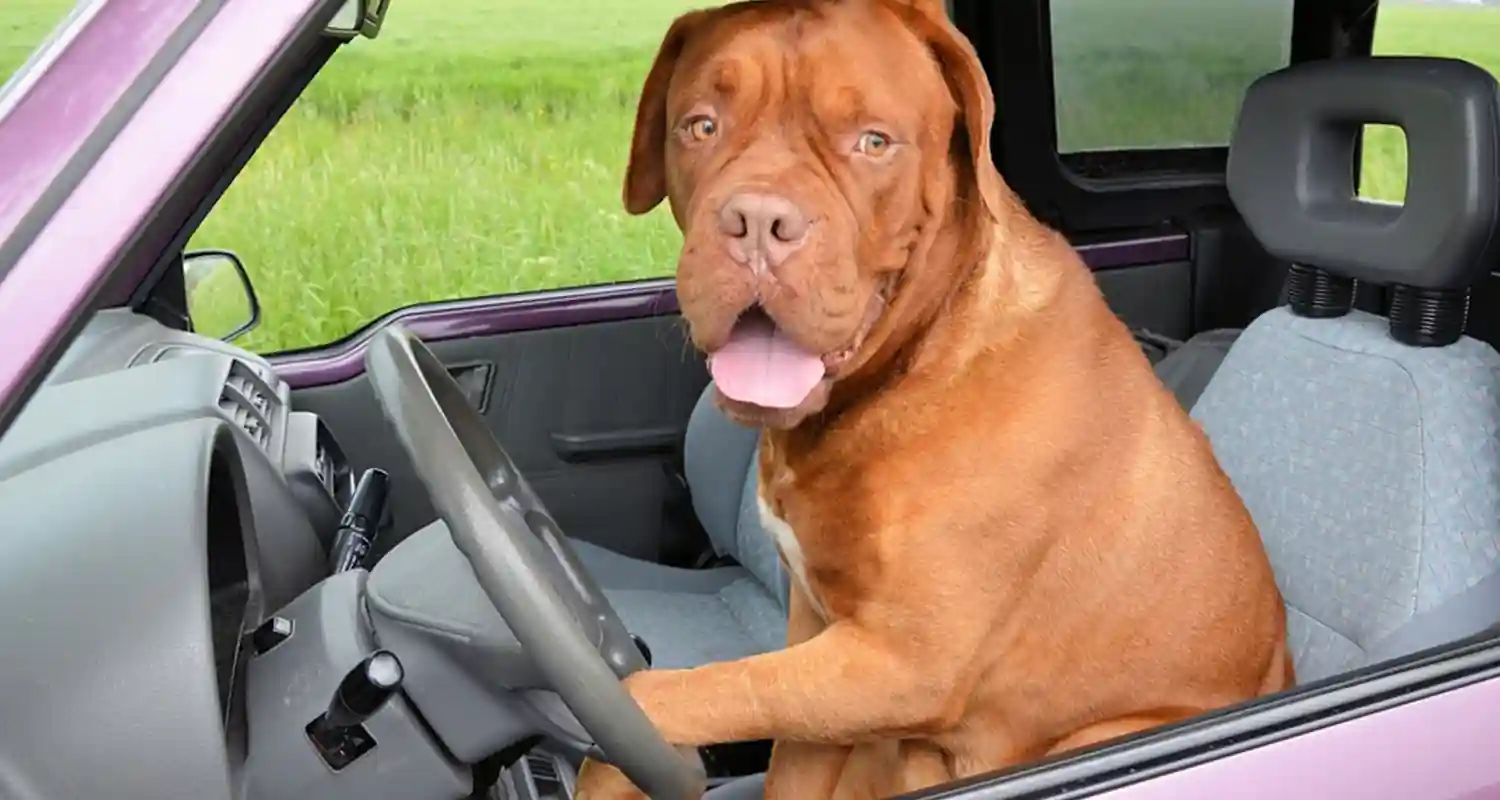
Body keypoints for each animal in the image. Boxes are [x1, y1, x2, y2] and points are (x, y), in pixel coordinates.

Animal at [573, 3, 1290, 792]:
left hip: (1086, 735)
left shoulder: (903, 662)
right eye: (700, 125)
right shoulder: (816, 629)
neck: (912, 358)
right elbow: (783, 741)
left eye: (873, 141)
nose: (757, 222)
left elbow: (683, 694)